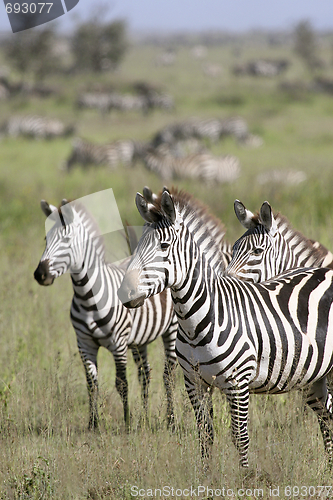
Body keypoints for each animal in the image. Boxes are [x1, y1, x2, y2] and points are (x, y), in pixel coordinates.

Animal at [33, 199, 178, 430]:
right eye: (46, 239)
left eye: (66, 239)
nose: (40, 274)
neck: (87, 297)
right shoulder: (84, 344)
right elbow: (92, 384)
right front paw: (93, 424)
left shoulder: (118, 343)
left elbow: (121, 383)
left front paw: (127, 423)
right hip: (139, 340)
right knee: (145, 374)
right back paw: (145, 419)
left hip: (171, 329)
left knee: (168, 374)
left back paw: (171, 421)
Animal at [118, 188, 333, 468]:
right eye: (138, 246)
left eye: (163, 246)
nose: (125, 293)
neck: (194, 324)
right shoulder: (194, 383)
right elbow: (205, 434)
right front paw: (205, 476)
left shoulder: (238, 384)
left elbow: (240, 437)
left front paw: (245, 478)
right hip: (314, 377)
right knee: (326, 417)